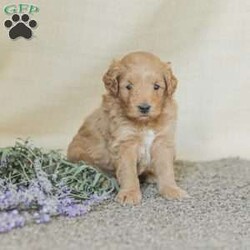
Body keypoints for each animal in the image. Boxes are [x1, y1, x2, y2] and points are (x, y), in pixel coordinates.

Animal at [67, 51, 188, 205]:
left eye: (156, 86)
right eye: (129, 86)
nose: (144, 108)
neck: (144, 123)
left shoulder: (162, 141)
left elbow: (166, 169)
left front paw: (171, 190)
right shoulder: (124, 144)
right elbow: (128, 171)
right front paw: (129, 193)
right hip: (81, 157)